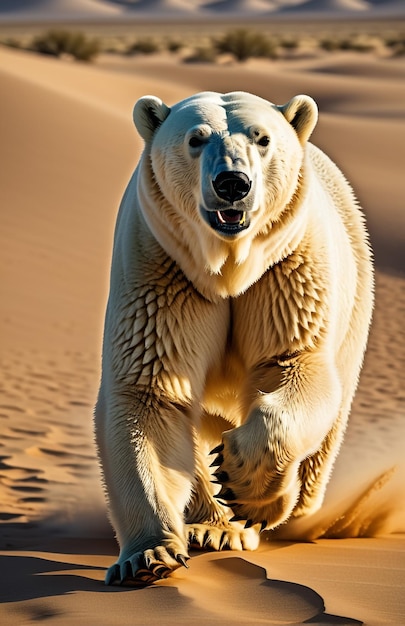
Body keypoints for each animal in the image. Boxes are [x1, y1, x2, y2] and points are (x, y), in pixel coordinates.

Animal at [94, 90, 372, 584]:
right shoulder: (162, 268)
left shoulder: (286, 267)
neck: (226, 269)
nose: (233, 183)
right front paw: (147, 556)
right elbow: (151, 394)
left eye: (262, 139)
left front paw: (247, 484)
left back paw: (282, 507)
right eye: (196, 138)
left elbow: (292, 364)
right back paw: (214, 526)